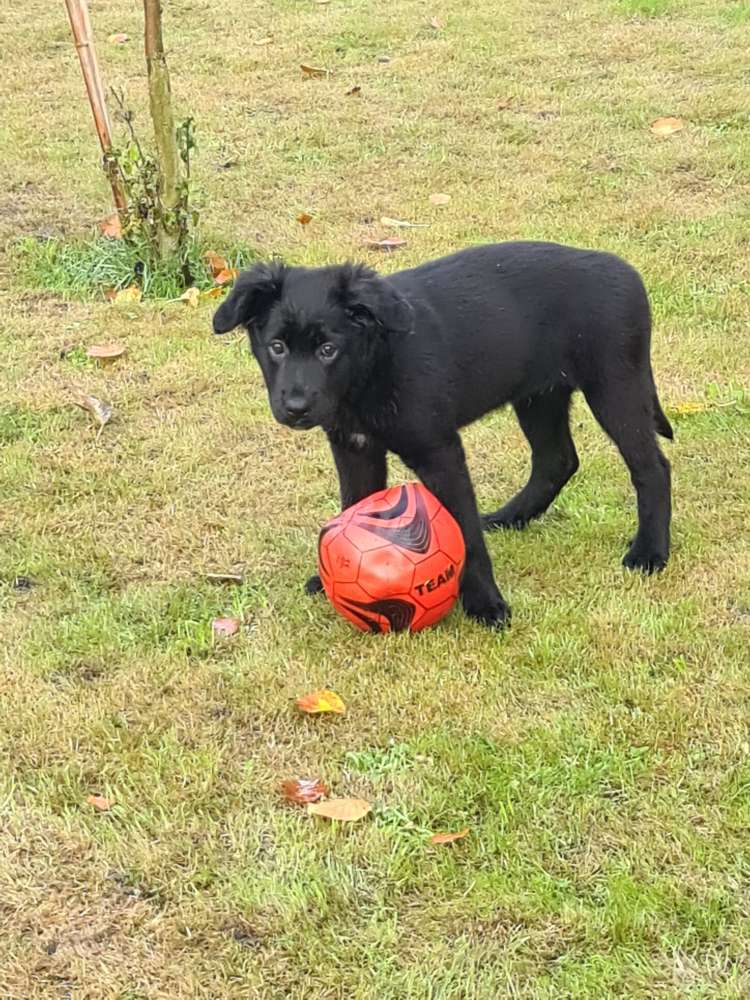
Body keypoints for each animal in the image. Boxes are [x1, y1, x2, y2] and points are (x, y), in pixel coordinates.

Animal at [213, 241, 676, 624]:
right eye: (277, 347)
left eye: (328, 350)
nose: (295, 408)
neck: (370, 368)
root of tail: (627, 271)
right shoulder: (355, 448)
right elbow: (353, 508)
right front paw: (326, 578)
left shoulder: (439, 451)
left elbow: (465, 531)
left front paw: (487, 604)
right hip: (539, 395)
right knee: (557, 460)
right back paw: (511, 517)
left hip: (615, 385)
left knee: (652, 467)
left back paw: (649, 552)